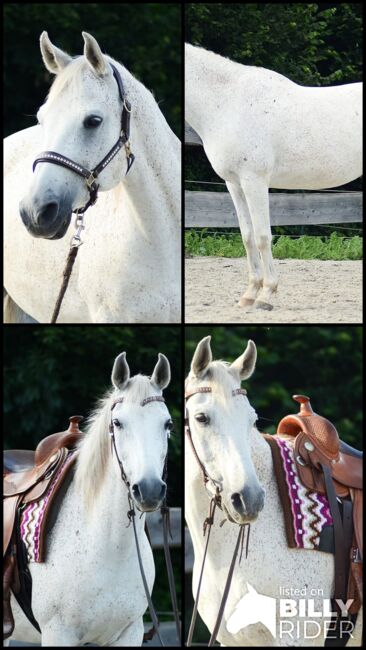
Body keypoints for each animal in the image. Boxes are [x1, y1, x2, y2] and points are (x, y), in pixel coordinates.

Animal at [7, 350, 174, 644]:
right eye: (117, 423)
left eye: (167, 424)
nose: (150, 489)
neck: (108, 547)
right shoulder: (58, 634)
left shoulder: (129, 633)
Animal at [184, 44, 362, 310]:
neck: (227, 102)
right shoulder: (234, 184)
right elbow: (247, 237)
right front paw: (249, 294)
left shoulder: (254, 181)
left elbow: (262, 237)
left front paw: (266, 295)